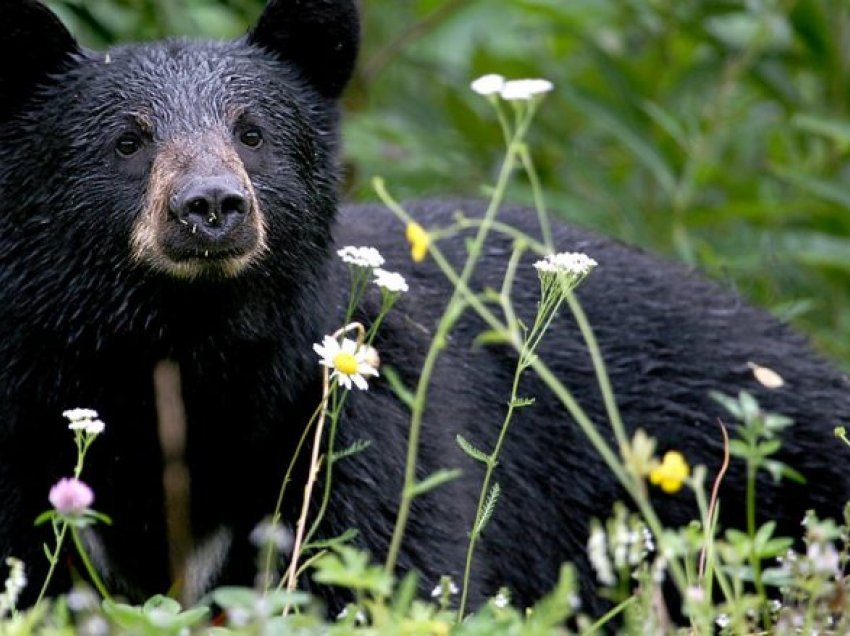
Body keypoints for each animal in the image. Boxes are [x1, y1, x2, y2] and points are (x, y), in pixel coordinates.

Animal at [1, 0, 848, 620]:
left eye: (254, 132)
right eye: (127, 140)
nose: (212, 206)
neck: (185, 351)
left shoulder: (357, 417)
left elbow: (388, 560)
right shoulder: (27, 416)